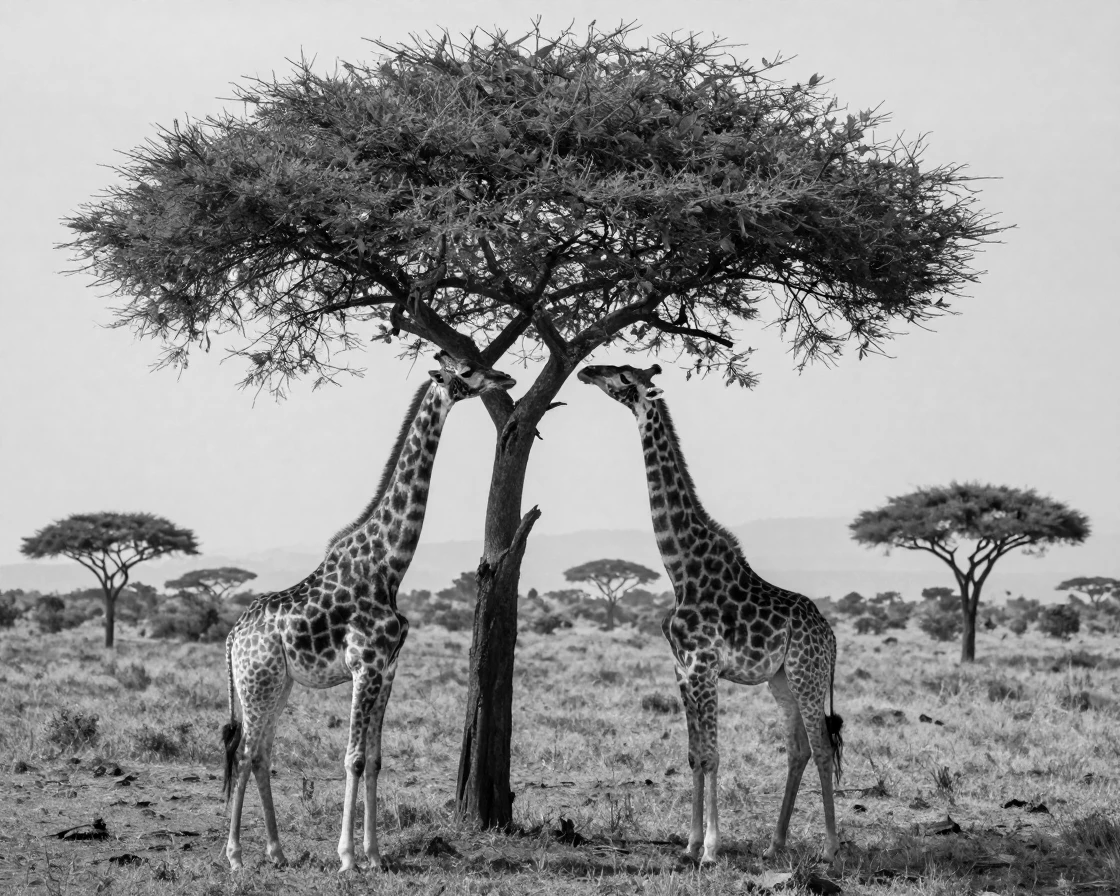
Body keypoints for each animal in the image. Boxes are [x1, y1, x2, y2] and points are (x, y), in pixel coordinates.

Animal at [221, 352, 515, 873]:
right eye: (467, 369)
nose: (506, 377)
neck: (389, 565)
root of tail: (234, 636)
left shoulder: (389, 668)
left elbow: (376, 760)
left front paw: (375, 856)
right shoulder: (365, 666)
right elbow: (354, 758)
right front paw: (347, 859)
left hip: (277, 684)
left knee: (259, 753)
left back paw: (277, 851)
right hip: (257, 683)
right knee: (243, 752)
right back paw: (236, 856)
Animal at [578, 363, 844, 864]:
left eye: (624, 376)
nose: (586, 370)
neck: (680, 568)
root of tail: (832, 636)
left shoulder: (704, 666)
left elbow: (714, 755)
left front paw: (711, 850)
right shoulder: (682, 669)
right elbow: (694, 755)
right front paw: (688, 844)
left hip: (808, 673)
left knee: (821, 747)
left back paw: (832, 849)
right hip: (780, 679)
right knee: (797, 749)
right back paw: (774, 845)